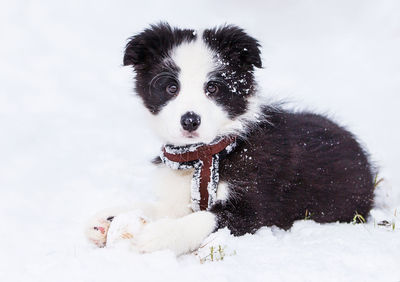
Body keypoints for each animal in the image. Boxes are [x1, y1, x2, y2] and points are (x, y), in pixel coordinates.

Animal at [85, 23, 376, 254]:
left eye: (212, 87)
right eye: (171, 87)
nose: (190, 120)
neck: (205, 156)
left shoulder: (255, 206)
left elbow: (206, 218)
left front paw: (161, 236)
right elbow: (161, 207)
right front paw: (111, 217)